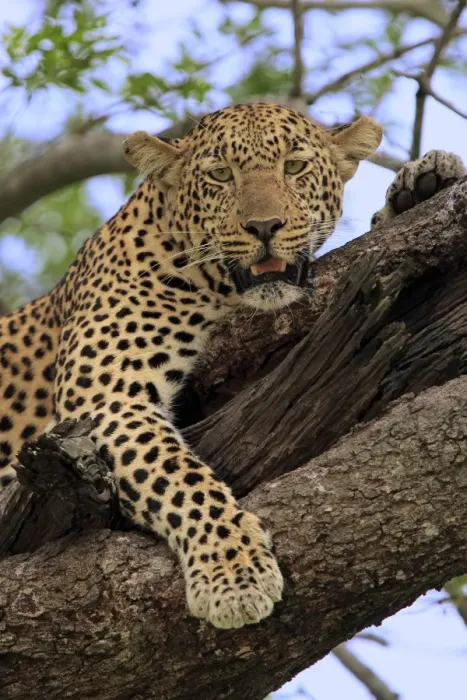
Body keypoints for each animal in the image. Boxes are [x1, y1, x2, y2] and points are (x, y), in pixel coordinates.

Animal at [0, 103, 465, 630]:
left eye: (294, 167)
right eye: (221, 175)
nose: (264, 227)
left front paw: (421, 187)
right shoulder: (106, 396)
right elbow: (180, 478)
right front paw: (233, 573)